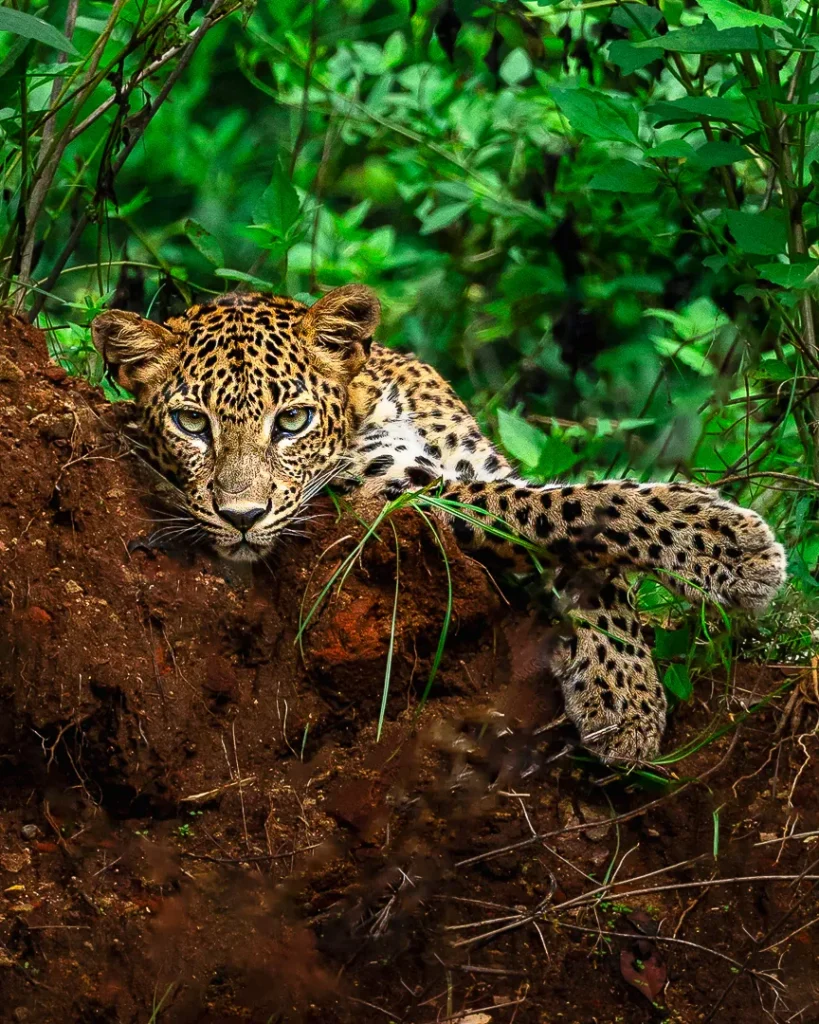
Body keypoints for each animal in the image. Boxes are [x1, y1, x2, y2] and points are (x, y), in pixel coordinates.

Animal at [91, 284, 787, 762]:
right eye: (191, 423)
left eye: (291, 421)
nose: (241, 517)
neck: (373, 404)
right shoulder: (391, 497)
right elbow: (569, 508)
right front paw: (730, 547)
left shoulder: (479, 466)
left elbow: (588, 544)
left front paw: (625, 692)